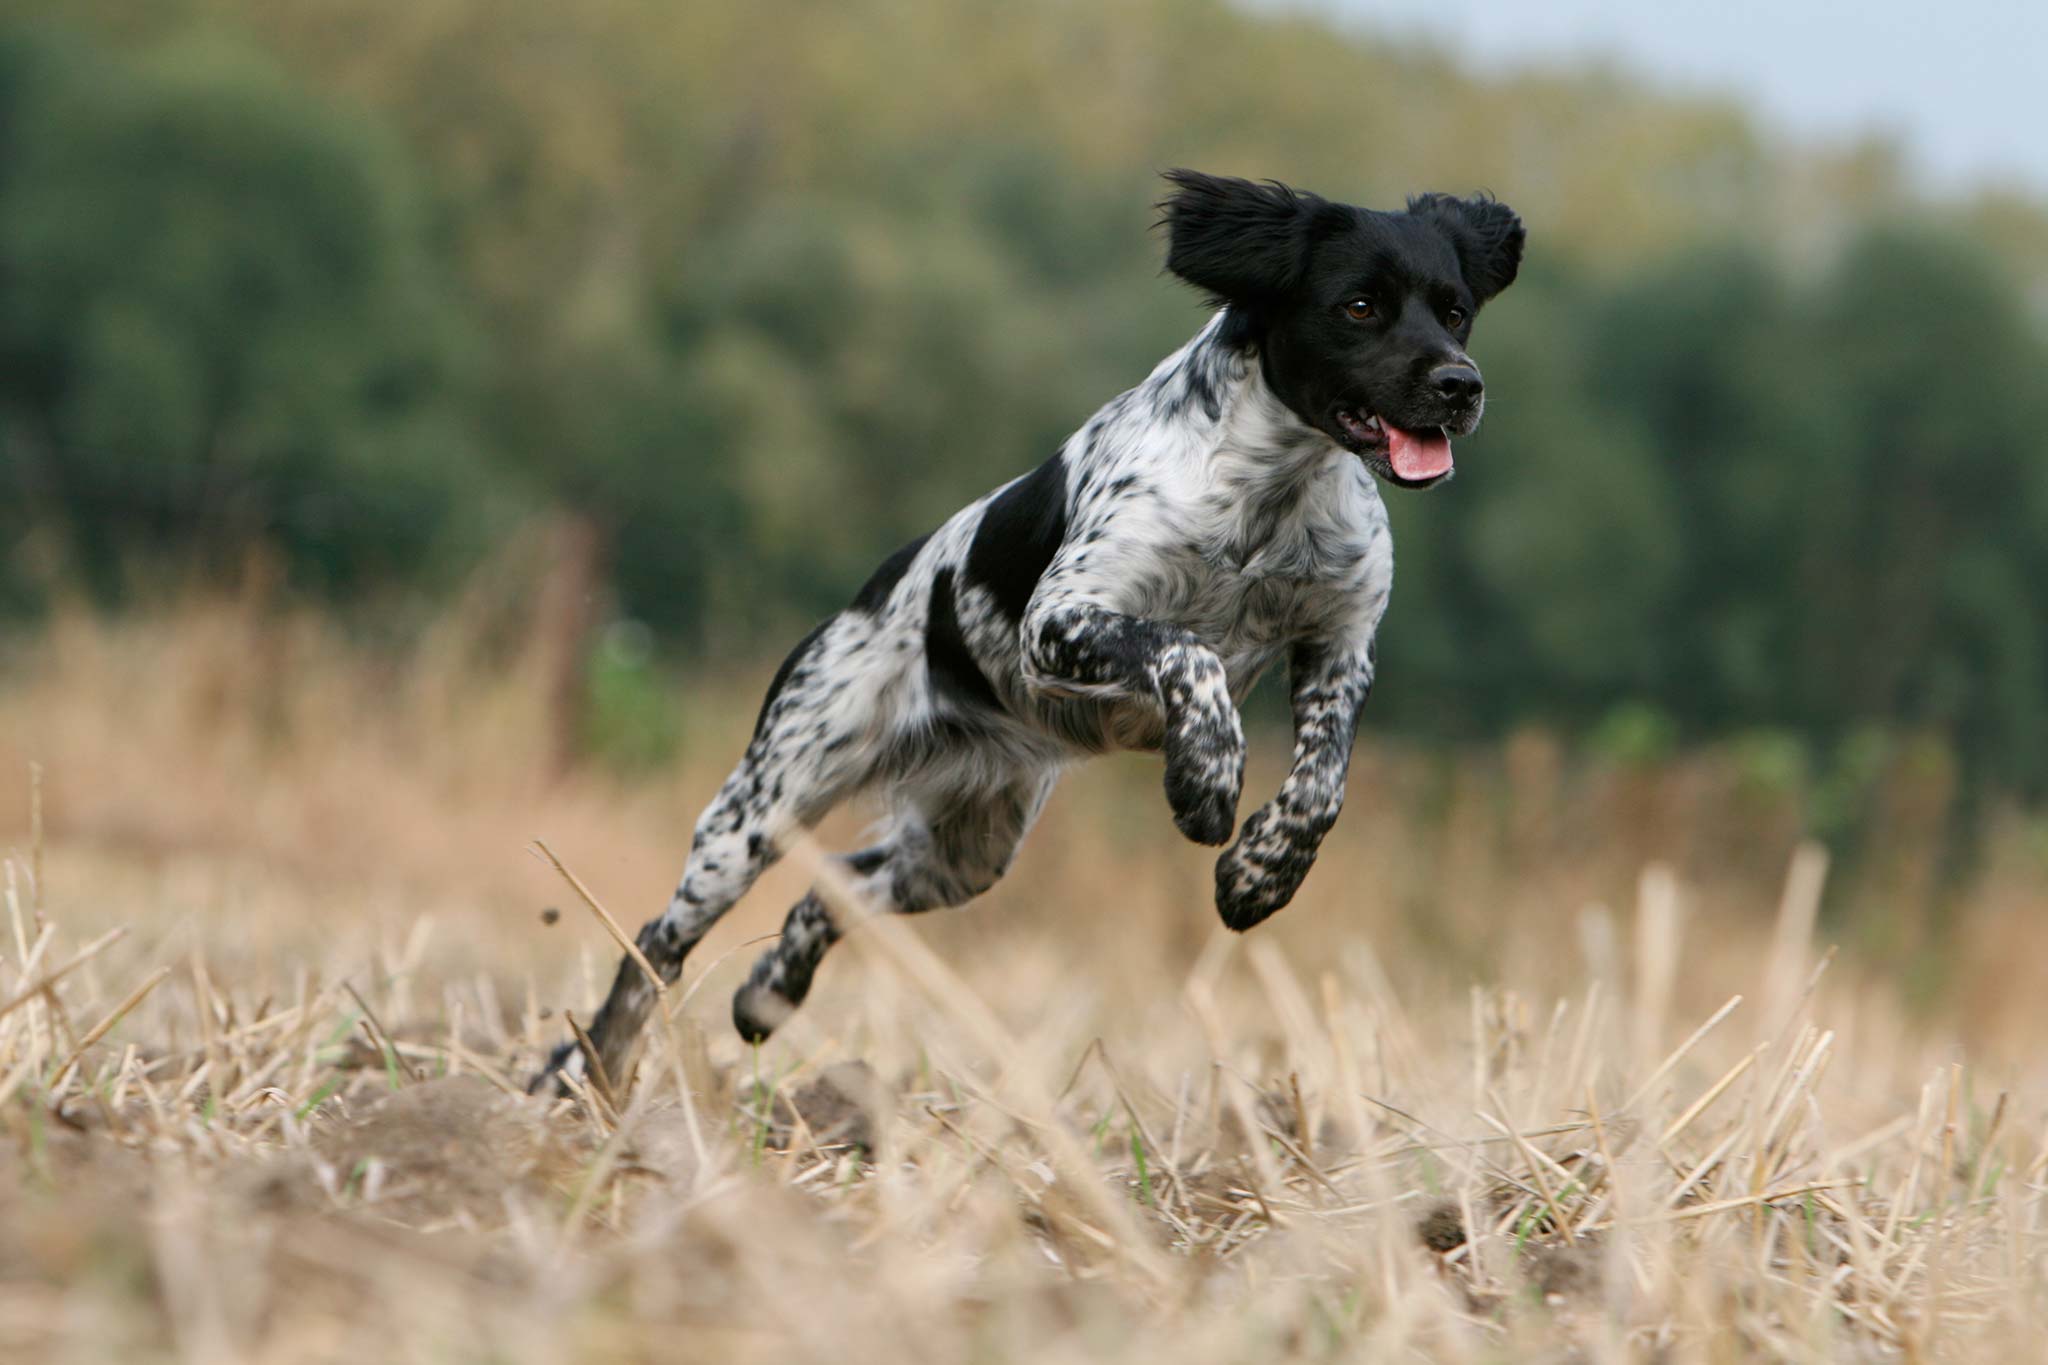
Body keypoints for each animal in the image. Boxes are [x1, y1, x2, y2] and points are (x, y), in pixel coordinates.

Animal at [536, 170, 1531, 1096]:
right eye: (1359, 305)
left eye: (1457, 311)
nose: (1460, 384)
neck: (1271, 493)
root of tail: (862, 597)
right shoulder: (1061, 618)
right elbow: (1189, 654)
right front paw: (1205, 783)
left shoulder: (1340, 644)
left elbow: (1320, 785)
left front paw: (1258, 875)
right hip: (764, 806)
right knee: (656, 943)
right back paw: (584, 1071)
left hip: (968, 848)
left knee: (841, 886)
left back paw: (766, 991)